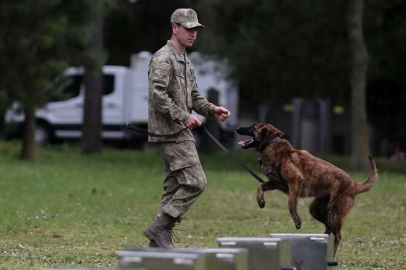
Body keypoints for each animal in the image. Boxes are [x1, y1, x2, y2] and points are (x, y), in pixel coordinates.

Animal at [236, 123, 380, 256]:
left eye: (252, 127)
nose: (237, 128)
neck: (272, 144)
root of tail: (354, 185)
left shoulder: (295, 181)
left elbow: (290, 204)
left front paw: (297, 221)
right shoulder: (276, 183)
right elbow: (260, 186)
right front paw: (260, 201)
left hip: (334, 213)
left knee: (337, 236)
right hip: (316, 210)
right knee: (328, 230)